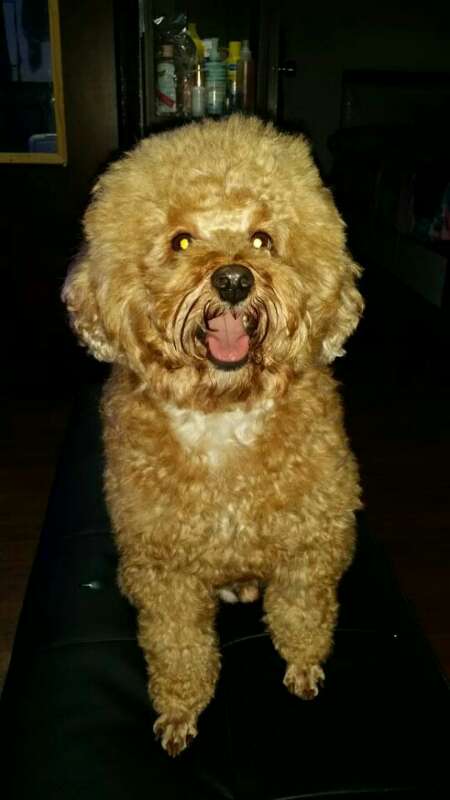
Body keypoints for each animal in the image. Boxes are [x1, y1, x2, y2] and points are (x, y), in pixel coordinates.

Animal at [63, 115, 363, 756]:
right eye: (181, 241)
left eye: (262, 240)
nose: (231, 279)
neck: (225, 411)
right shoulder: (165, 574)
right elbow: (179, 649)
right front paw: (179, 713)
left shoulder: (311, 549)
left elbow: (302, 614)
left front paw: (303, 668)